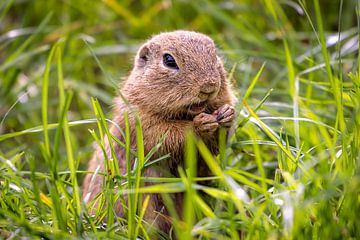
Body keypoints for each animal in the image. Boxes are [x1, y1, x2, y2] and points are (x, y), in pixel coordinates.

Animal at [83, 30, 238, 234]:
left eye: (215, 55)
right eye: (169, 60)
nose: (209, 86)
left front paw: (227, 114)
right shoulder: (141, 120)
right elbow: (166, 136)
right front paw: (201, 124)